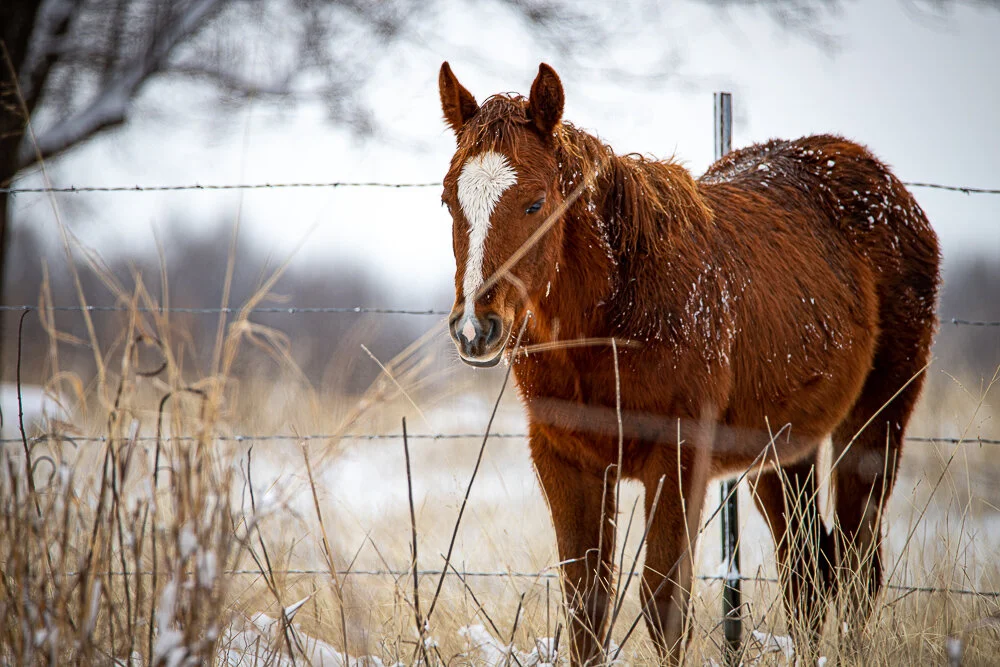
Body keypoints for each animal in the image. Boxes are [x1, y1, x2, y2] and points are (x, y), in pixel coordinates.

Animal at [437, 62, 940, 665]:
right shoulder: (566, 460)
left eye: (536, 203)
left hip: (873, 425)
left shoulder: (678, 456)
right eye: (449, 201)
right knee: (806, 573)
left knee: (857, 564)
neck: (617, 317)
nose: (474, 328)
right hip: (782, 450)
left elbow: (664, 604)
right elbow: (585, 608)